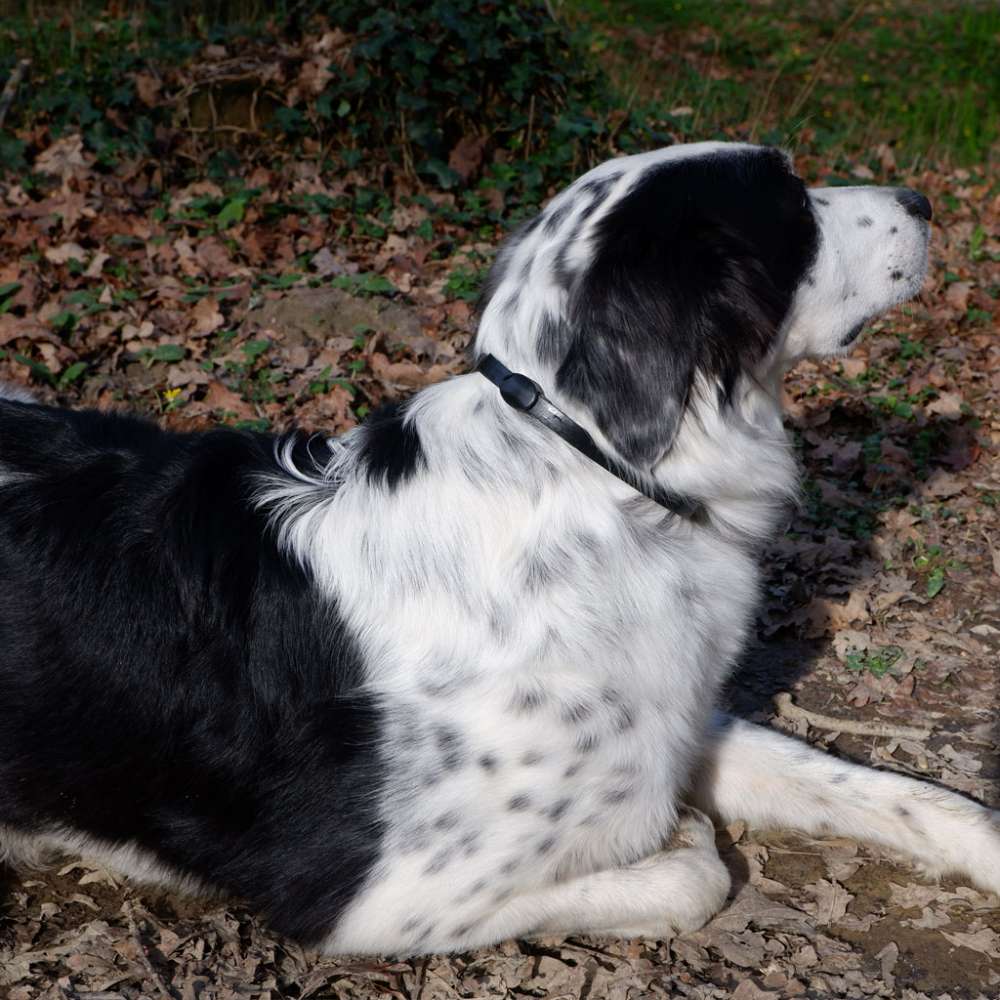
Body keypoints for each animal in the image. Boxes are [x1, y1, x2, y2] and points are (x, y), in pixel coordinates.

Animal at [1, 139, 1000, 952]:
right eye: (794, 204)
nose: (923, 199)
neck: (592, 473)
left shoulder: (675, 721)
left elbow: (877, 785)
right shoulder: (373, 898)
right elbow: (695, 871)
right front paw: (680, 840)